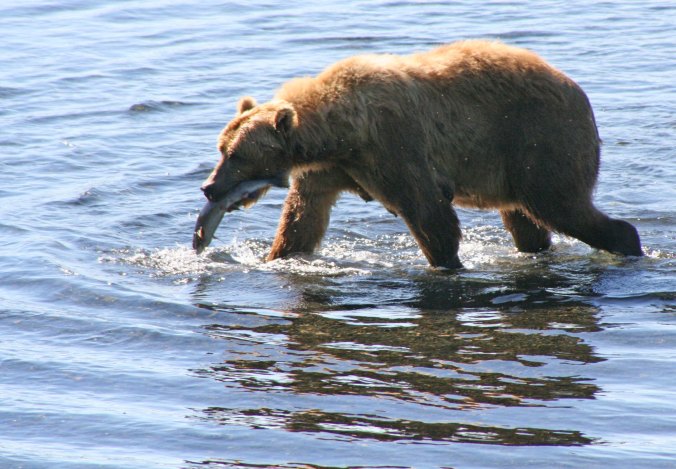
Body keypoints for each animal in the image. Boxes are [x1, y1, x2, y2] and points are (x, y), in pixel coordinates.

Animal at [198, 40, 642, 268]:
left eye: (237, 155)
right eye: (222, 148)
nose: (208, 187)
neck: (340, 131)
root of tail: (580, 94)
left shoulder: (392, 145)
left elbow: (428, 211)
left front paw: (447, 262)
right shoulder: (332, 169)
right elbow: (302, 219)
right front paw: (278, 256)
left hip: (539, 138)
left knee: (560, 204)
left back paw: (628, 243)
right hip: (512, 164)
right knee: (526, 221)